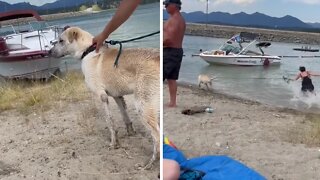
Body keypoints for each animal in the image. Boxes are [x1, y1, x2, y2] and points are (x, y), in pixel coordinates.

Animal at [50, 26, 160, 169]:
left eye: (61, 40)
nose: (48, 52)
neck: (87, 51)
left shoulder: (102, 96)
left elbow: (110, 121)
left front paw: (114, 143)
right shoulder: (117, 96)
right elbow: (125, 116)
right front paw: (130, 133)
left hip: (143, 105)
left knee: (157, 136)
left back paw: (151, 163)